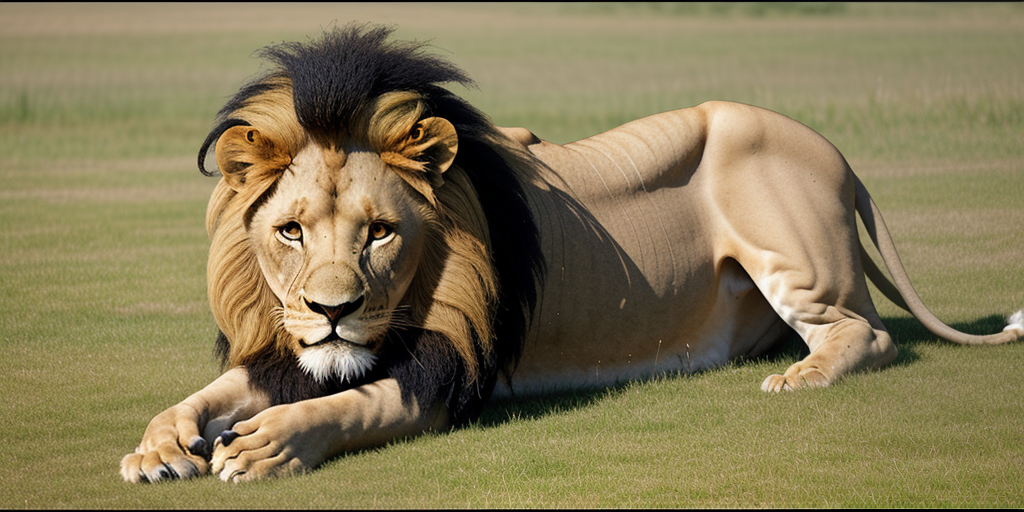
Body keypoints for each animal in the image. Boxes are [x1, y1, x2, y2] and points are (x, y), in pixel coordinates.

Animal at [121, 25, 1023, 483]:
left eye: (381, 231)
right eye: (291, 231)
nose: (333, 311)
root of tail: (832, 146)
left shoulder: (450, 372)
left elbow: (351, 406)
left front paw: (268, 444)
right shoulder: (286, 347)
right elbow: (196, 400)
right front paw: (159, 448)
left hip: (790, 242)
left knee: (865, 333)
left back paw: (801, 374)